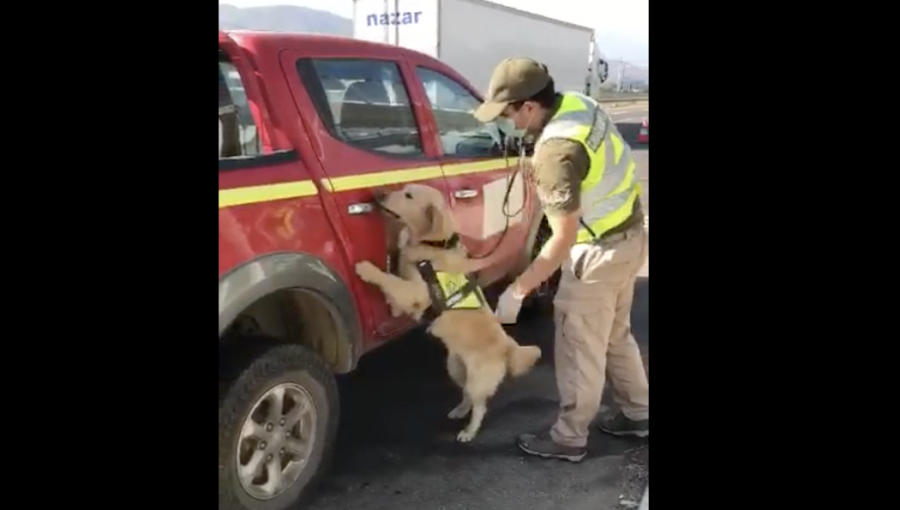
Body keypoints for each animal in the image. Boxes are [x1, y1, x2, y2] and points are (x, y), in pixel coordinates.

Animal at [356, 183, 540, 442]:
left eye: (408, 195)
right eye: (403, 189)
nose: (378, 194)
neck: (434, 245)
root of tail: (508, 346)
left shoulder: (417, 291)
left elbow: (391, 280)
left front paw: (367, 270)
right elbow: (396, 285)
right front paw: (393, 306)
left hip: (477, 379)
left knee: (480, 405)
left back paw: (469, 431)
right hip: (455, 367)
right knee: (466, 395)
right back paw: (459, 410)